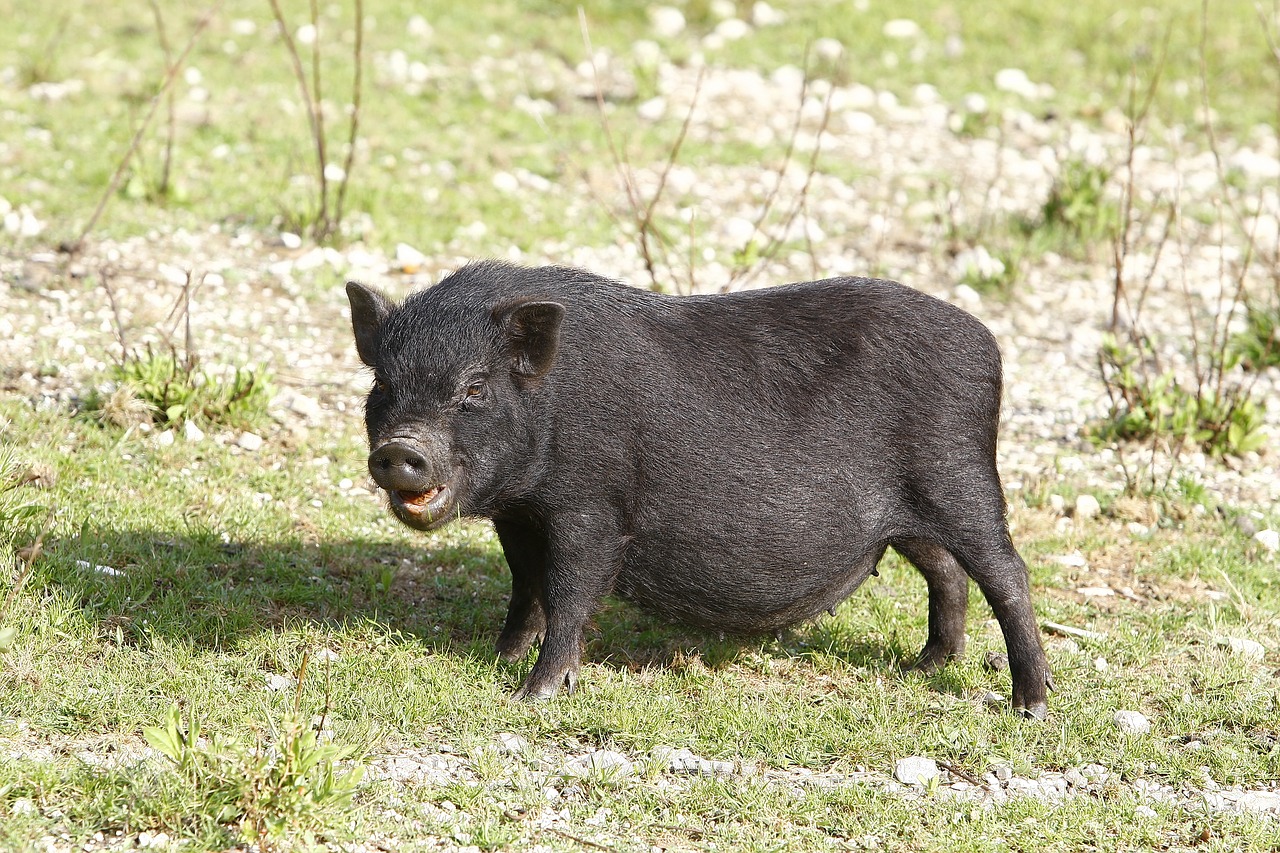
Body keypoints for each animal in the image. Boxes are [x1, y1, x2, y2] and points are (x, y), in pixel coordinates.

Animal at [348, 262, 1049, 712]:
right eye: (382, 382)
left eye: (474, 386)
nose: (400, 449)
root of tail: (988, 343)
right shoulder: (518, 516)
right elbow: (526, 589)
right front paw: (496, 660)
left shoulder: (591, 511)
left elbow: (569, 592)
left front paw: (532, 694)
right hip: (907, 514)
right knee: (944, 571)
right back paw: (924, 667)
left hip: (962, 478)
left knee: (1007, 574)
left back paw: (1027, 706)